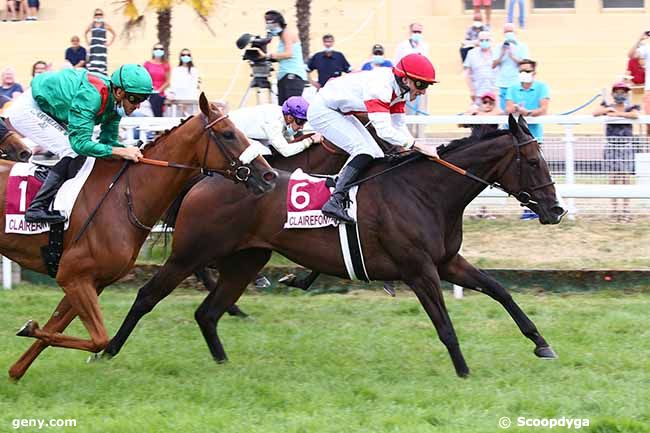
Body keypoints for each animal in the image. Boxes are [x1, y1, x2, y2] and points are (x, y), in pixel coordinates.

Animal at [3, 93, 276, 380]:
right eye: (228, 134)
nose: (269, 175)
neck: (124, 197)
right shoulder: (73, 276)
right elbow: (98, 339)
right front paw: (30, 329)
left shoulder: (91, 282)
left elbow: (56, 328)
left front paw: (16, 368)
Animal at [100, 114, 560, 374]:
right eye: (532, 161)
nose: (555, 210)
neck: (425, 191)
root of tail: (208, 177)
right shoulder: (420, 270)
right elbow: (444, 324)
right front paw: (463, 371)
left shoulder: (447, 262)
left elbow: (500, 290)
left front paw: (541, 343)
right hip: (191, 252)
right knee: (148, 296)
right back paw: (107, 351)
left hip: (247, 259)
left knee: (208, 312)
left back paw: (223, 363)